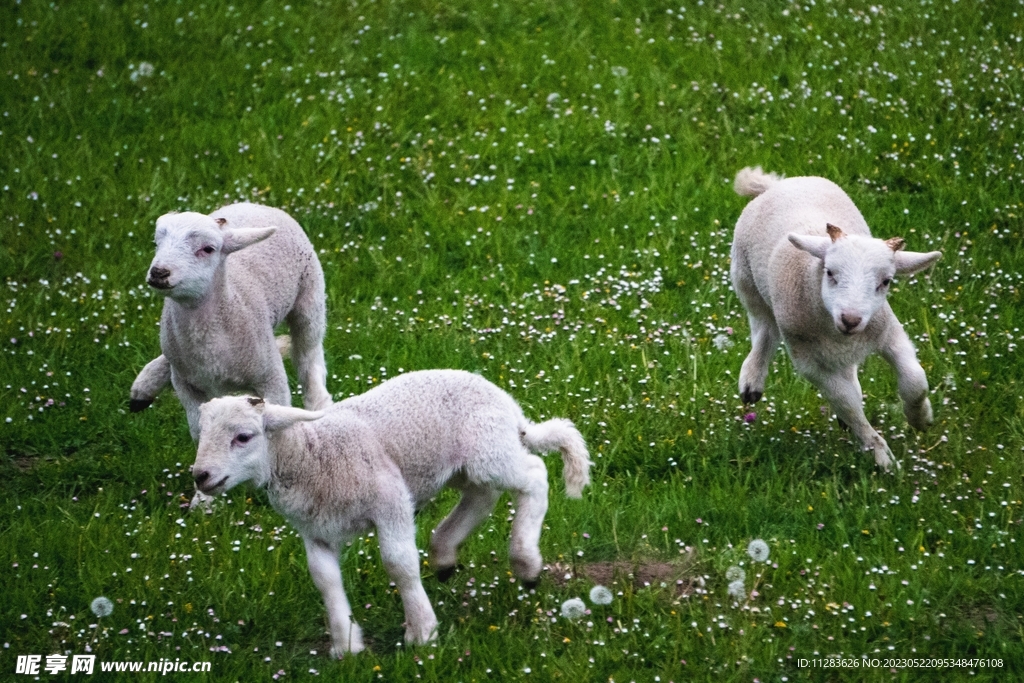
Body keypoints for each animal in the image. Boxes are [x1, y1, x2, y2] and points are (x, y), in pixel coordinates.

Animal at [134, 201, 329, 444]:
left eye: (208, 249)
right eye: (156, 244)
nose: (159, 273)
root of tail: (255, 204)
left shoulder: (271, 378)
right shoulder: (185, 383)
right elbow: (199, 429)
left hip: (310, 297)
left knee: (309, 357)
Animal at [729, 167, 942, 473]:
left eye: (886, 282)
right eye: (829, 273)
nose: (851, 319)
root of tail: (779, 184)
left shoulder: (889, 332)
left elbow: (915, 381)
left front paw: (920, 418)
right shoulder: (810, 362)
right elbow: (847, 403)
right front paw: (882, 456)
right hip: (746, 280)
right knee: (764, 329)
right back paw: (752, 380)